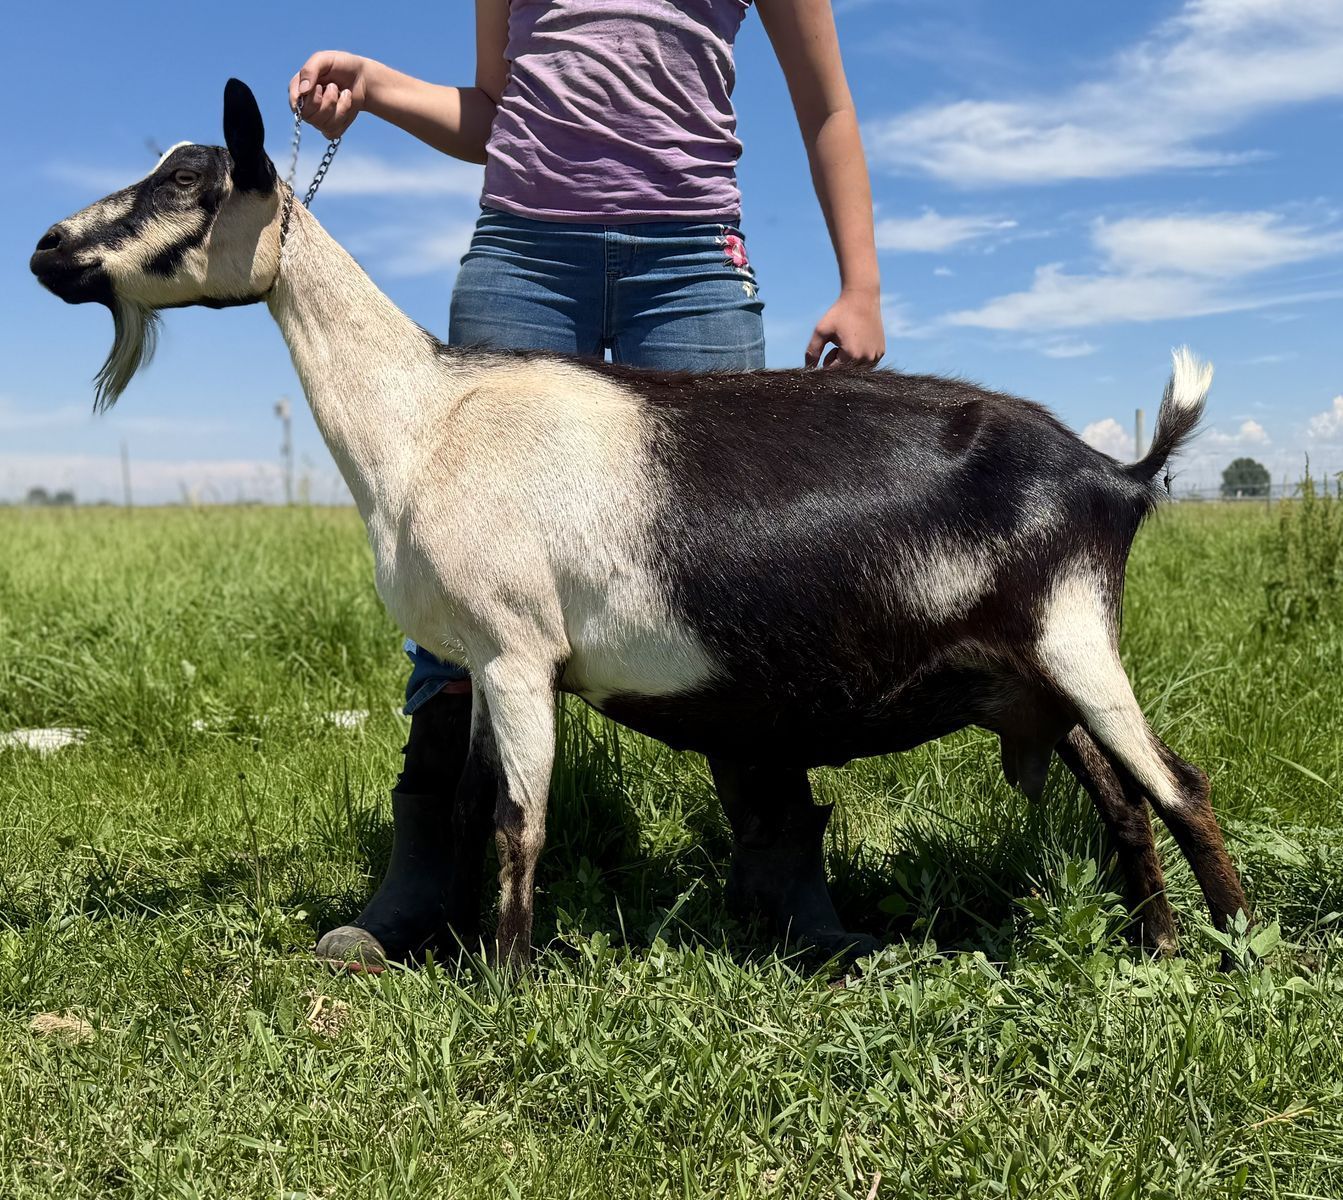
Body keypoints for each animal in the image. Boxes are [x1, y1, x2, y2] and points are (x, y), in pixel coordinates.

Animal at [30, 80, 1248, 966]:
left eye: (186, 179)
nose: (46, 251)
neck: (425, 419)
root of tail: (1117, 472)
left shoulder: (518, 647)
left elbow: (519, 819)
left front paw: (507, 983)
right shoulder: (483, 659)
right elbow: (465, 803)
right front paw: (459, 957)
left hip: (1075, 640)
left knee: (1177, 788)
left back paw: (1237, 953)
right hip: (1031, 673)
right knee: (1124, 805)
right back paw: (1153, 946)